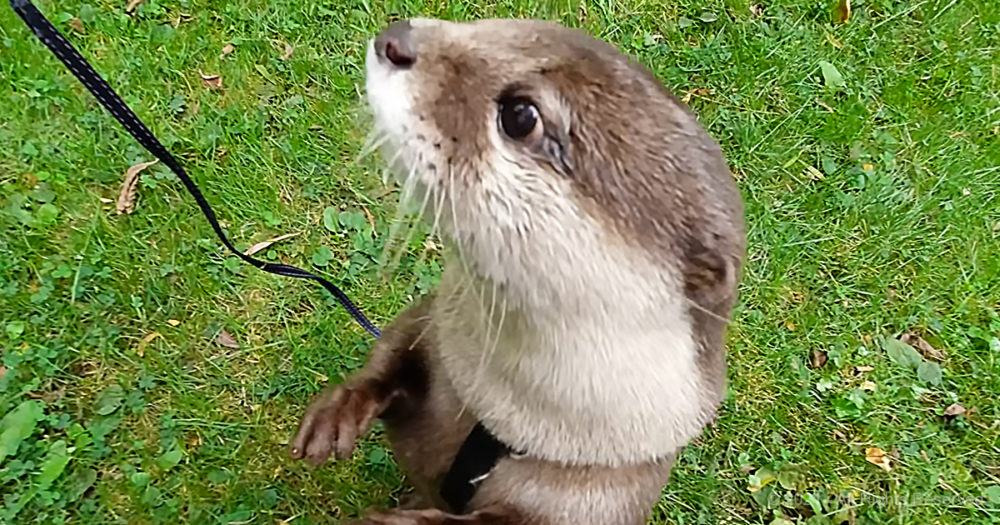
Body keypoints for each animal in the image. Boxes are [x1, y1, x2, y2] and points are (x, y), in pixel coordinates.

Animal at [290, 18, 746, 525]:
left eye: (520, 116)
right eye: (488, 30)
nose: (396, 37)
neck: (509, 419)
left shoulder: (603, 495)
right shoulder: (433, 327)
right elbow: (393, 348)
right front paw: (338, 412)